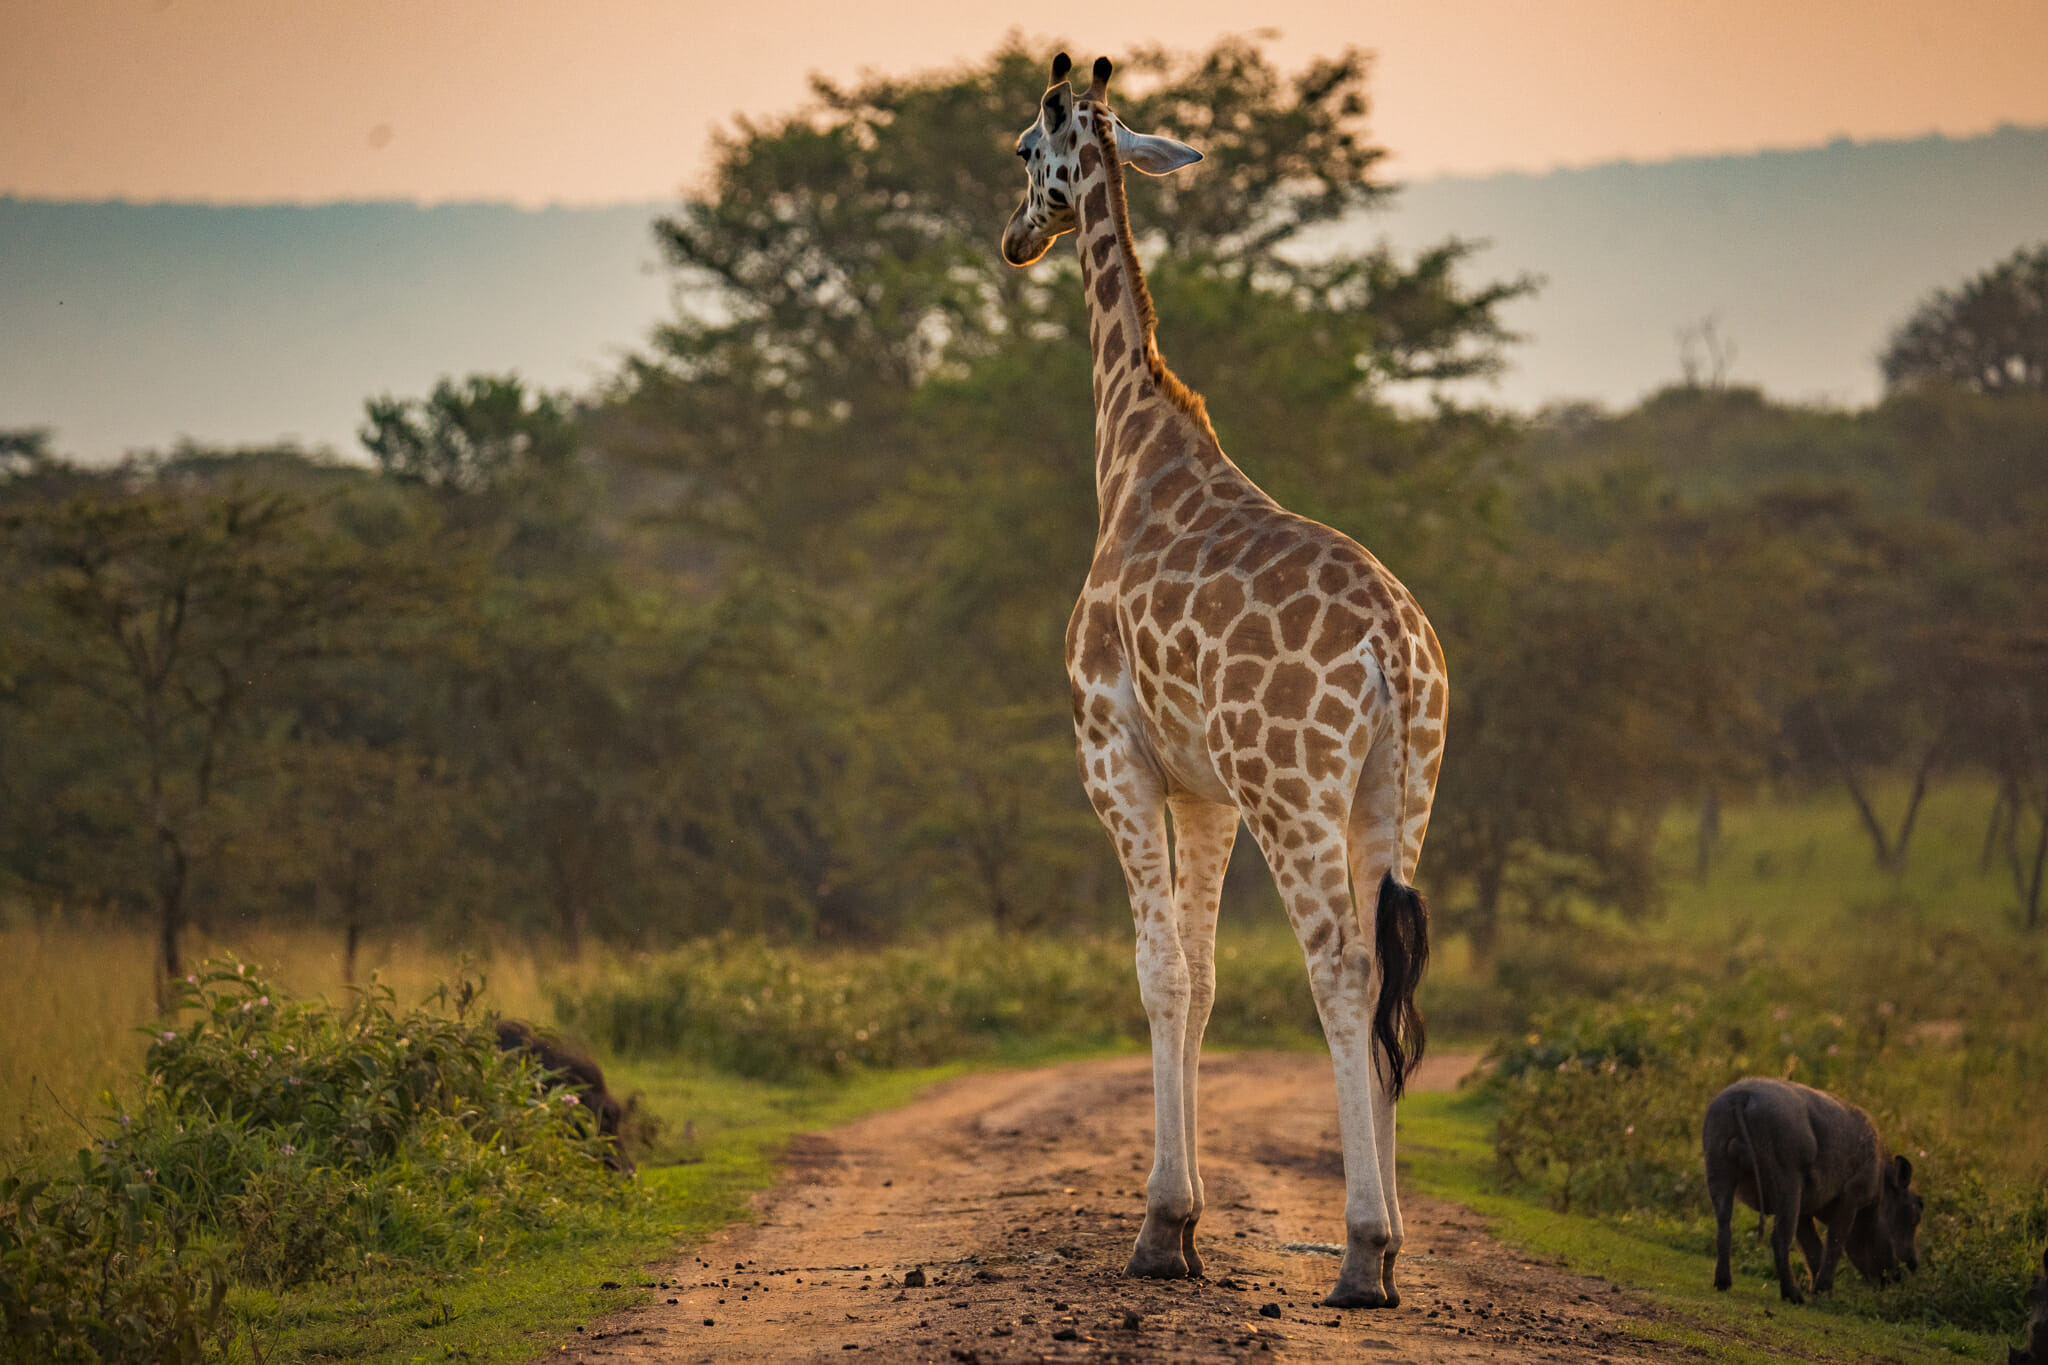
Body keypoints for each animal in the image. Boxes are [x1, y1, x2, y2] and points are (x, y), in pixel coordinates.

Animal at [999, 54, 1449, 1309]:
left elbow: (1158, 973)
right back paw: (1389, 1249)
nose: (1012, 239)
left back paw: (1361, 1255)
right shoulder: (1204, 791)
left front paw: (1161, 1227)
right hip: (1397, 789)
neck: (1130, 455)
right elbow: (1198, 980)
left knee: (1341, 968)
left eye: (1023, 151)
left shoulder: (1112, 756)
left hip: (1293, 788)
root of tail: (1390, 649)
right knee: (1392, 973)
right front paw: (1186, 1226)